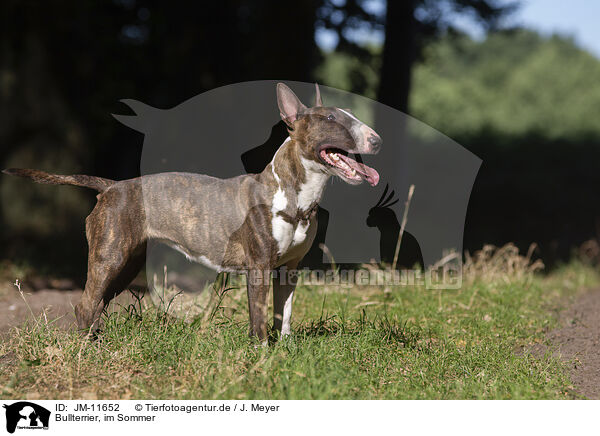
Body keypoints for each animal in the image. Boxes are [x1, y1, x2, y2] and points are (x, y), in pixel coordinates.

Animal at [3, 83, 380, 342]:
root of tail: (111, 187)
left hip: (128, 262)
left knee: (97, 304)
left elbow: (283, 312)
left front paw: (285, 349)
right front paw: (262, 355)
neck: (295, 196)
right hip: (109, 256)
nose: (376, 139)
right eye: (330, 119)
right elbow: (259, 317)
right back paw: (86, 350)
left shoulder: (290, 268)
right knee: (85, 304)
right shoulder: (258, 268)